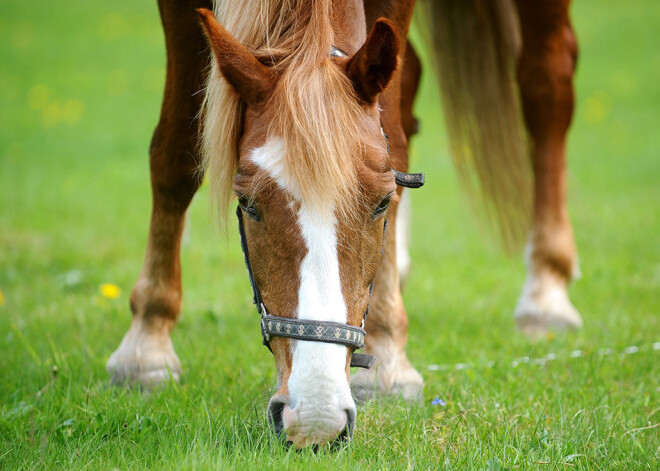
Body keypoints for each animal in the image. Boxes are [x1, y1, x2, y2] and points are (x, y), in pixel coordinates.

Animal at [107, 0, 584, 450]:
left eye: (381, 203)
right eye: (247, 204)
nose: (316, 419)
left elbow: (391, 134)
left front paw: (388, 358)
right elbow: (177, 152)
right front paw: (146, 343)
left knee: (547, 80)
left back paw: (546, 290)